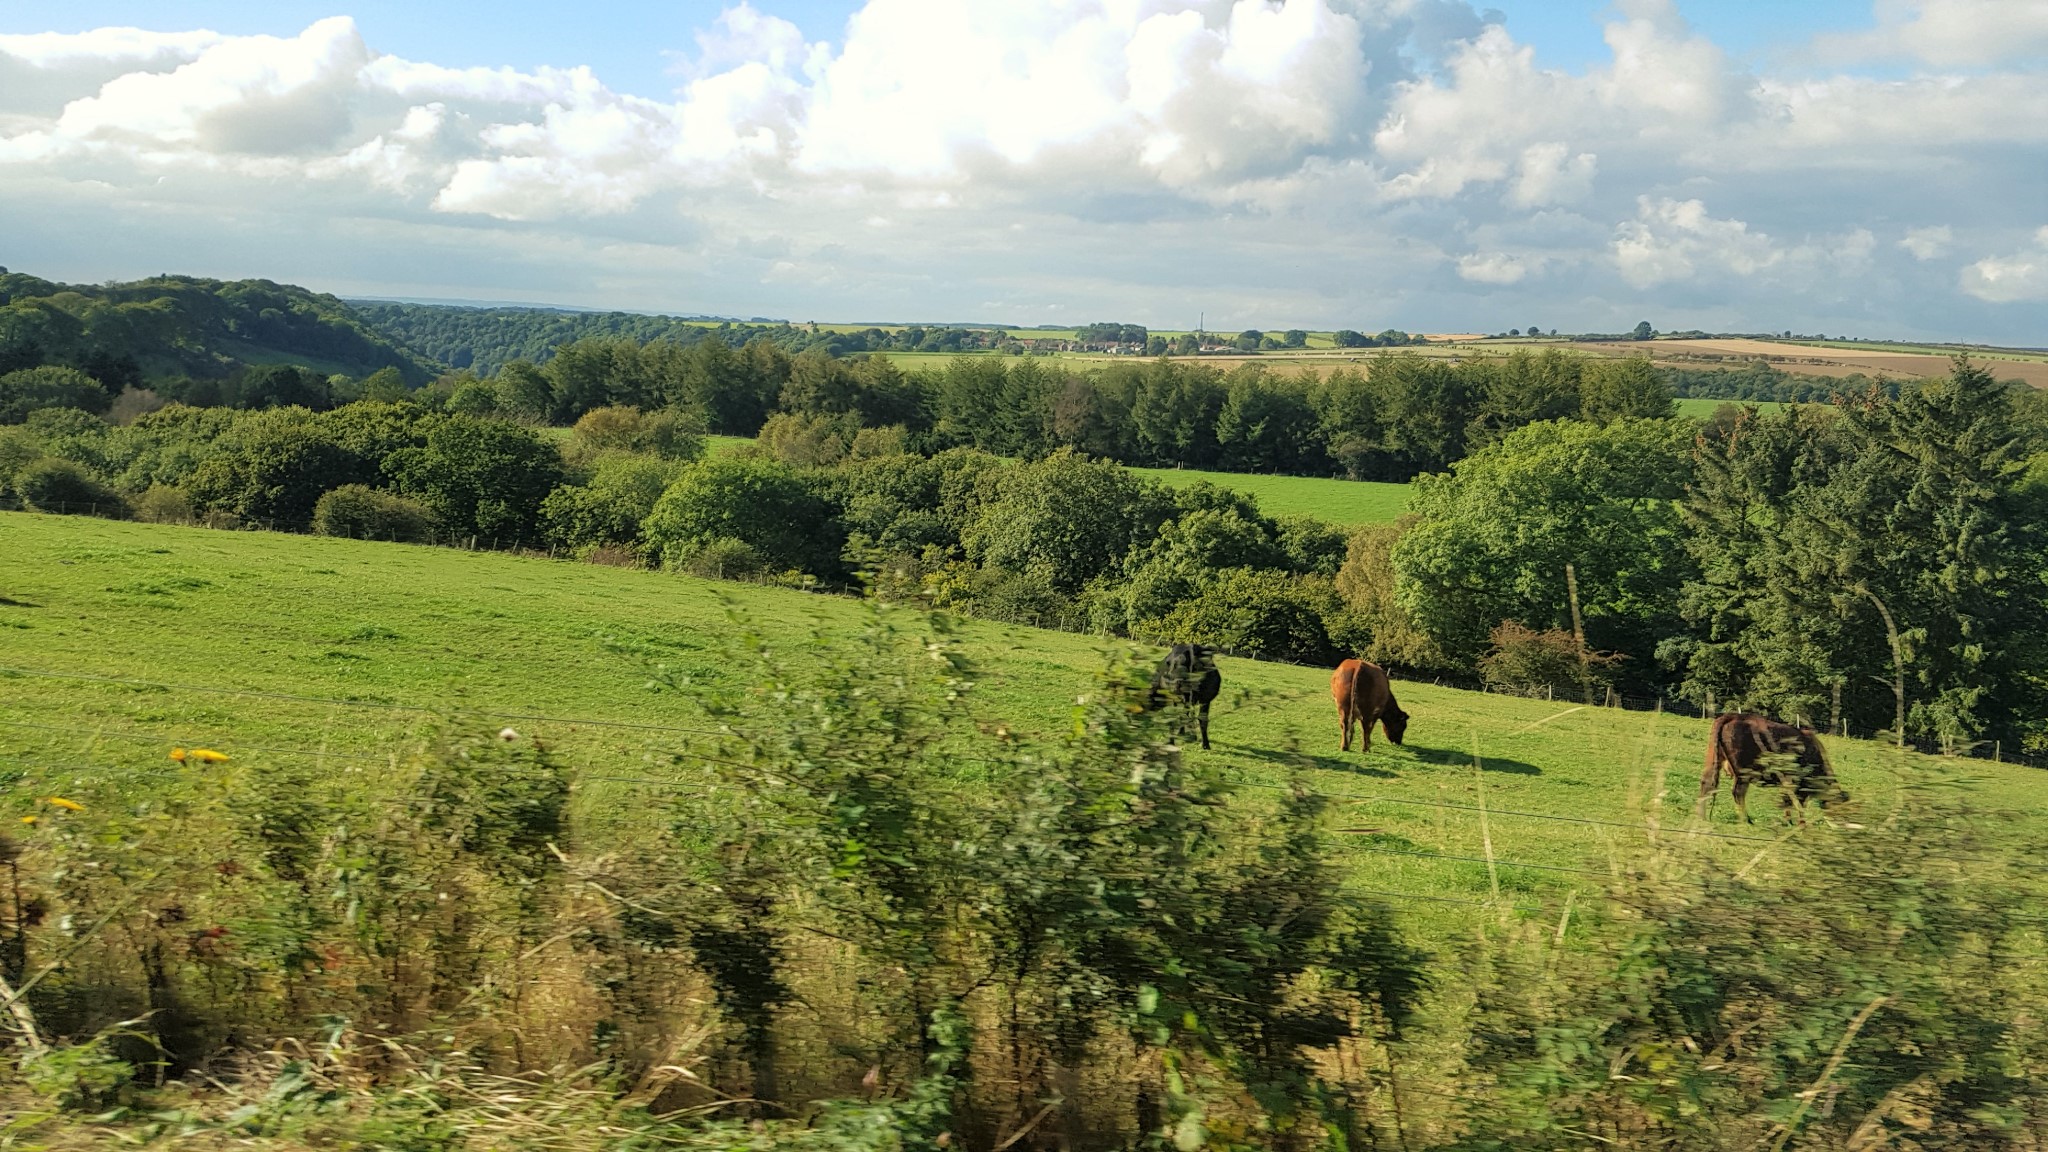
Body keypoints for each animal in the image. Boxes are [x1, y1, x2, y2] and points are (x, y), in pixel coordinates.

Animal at [1687, 713, 1851, 819]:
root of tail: (1733, 716)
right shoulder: (1796, 783)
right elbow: (1795, 802)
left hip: (1713, 761)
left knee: (1707, 784)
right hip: (1743, 773)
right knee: (1738, 792)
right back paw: (1746, 820)